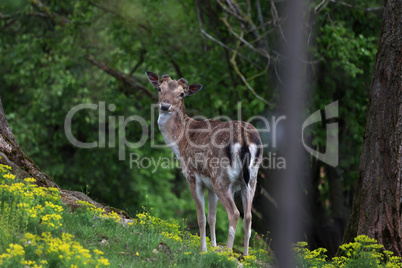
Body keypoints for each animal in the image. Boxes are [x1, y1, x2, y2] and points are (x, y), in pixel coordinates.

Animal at [146, 71, 262, 255]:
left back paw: (228, 253)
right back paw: (245, 256)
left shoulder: (192, 176)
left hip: (221, 177)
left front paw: (204, 250)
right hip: (251, 180)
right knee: (248, 217)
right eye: (159, 88)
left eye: (182, 94)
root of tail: (245, 139)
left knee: (235, 213)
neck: (180, 144)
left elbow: (201, 217)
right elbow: (212, 217)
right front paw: (213, 247)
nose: (164, 106)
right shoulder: (210, 186)